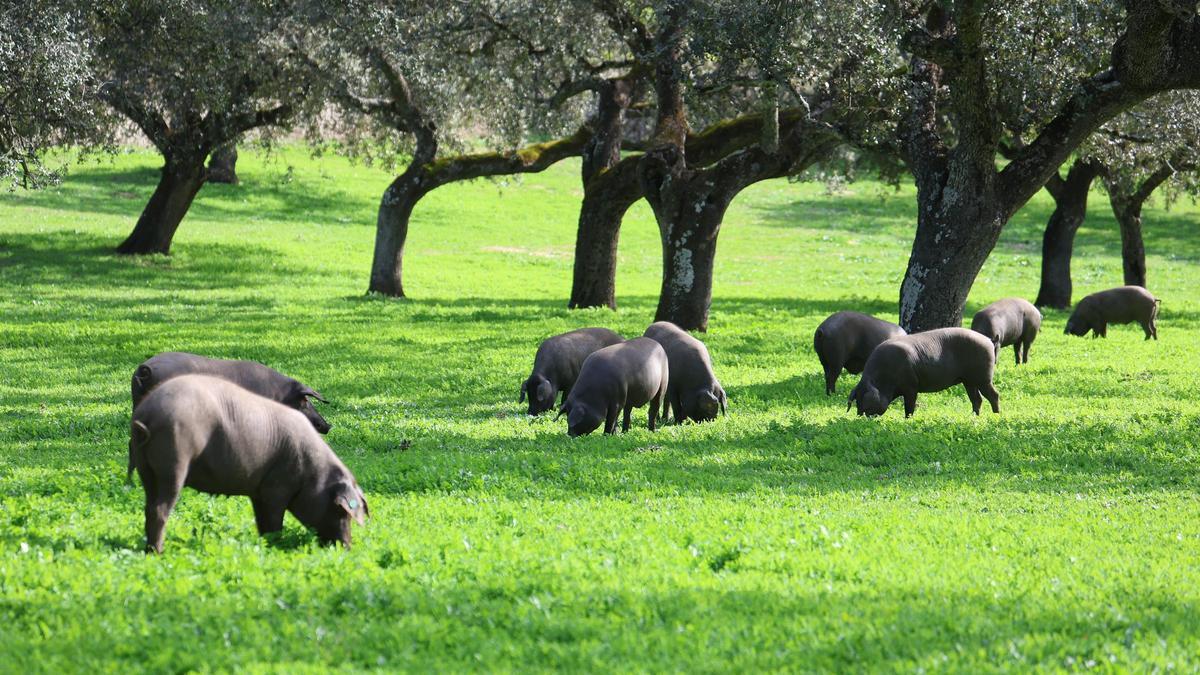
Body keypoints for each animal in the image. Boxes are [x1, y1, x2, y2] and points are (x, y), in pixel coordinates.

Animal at [127, 372, 364, 552]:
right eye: (340, 510)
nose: (347, 547)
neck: (312, 473)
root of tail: (146, 417)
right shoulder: (276, 489)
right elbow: (274, 523)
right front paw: (275, 545)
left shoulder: (259, 492)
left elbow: (262, 523)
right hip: (174, 462)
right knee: (160, 510)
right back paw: (158, 552)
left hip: (147, 469)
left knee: (149, 507)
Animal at [849, 326, 998, 415]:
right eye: (857, 401)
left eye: (866, 402)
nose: (861, 416)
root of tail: (988, 339)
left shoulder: (911, 386)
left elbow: (909, 407)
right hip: (968, 381)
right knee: (977, 399)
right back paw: (974, 417)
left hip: (984, 377)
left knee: (993, 395)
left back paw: (995, 415)